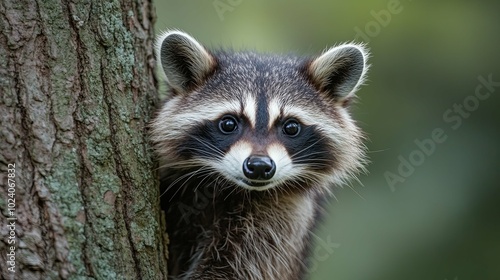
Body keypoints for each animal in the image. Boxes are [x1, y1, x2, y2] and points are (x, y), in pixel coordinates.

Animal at [154, 30, 370, 280]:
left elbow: (239, 267)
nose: (259, 166)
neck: (228, 188)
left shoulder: (283, 220)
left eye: (291, 127)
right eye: (228, 124)